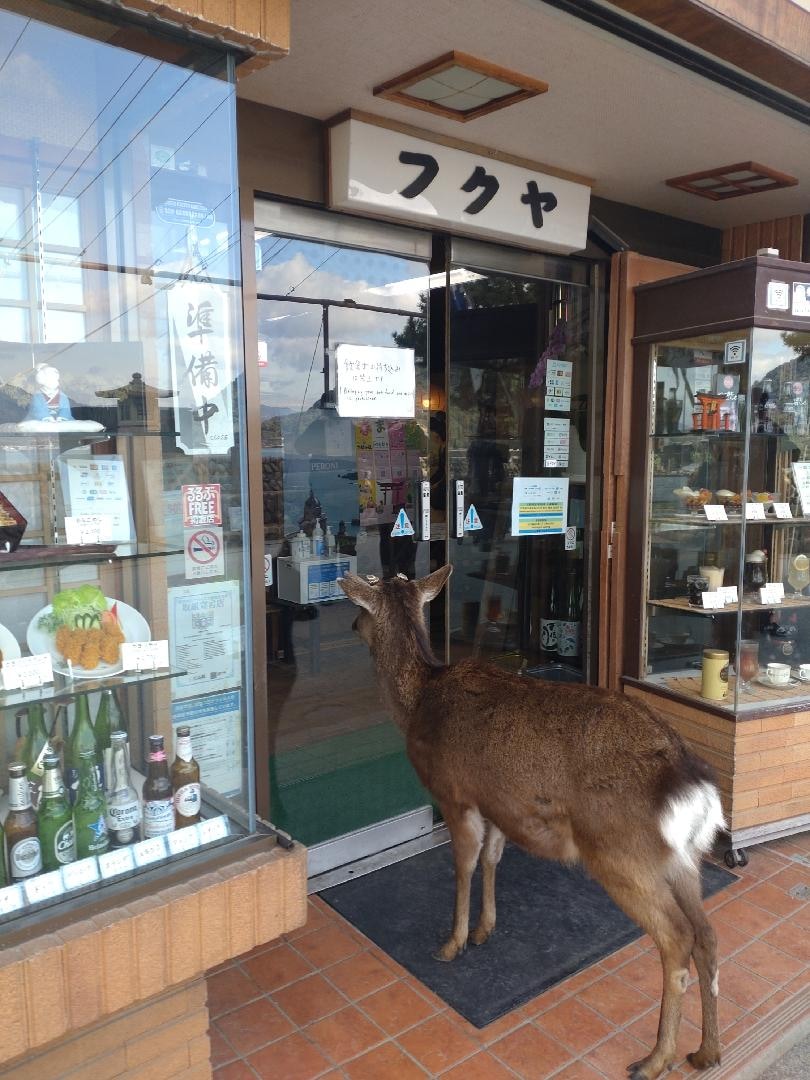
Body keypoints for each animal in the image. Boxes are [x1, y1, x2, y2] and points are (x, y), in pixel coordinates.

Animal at [339, 565, 726, 1080]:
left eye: (363, 604)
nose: (351, 626)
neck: (419, 700)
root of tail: (692, 784)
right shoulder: (499, 803)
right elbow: (491, 860)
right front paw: (485, 929)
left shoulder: (455, 794)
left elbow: (463, 865)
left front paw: (452, 943)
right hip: (683, 859)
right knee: (706, 935)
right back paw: (706, 1051)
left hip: (623, 855)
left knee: (676, 938)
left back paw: (655, 1058)